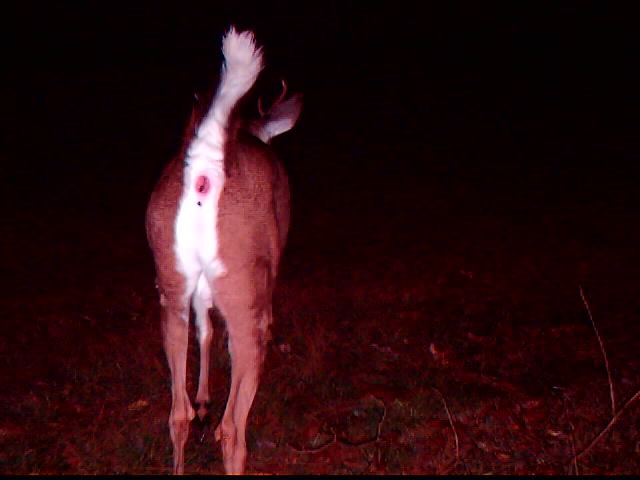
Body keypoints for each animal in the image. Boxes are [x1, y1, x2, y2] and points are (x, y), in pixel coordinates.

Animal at [145, 27, 302, 474]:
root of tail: (205, 166)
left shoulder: (197, 291)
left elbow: (205, 331)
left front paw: (203, 399)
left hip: (170, 283)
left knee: (176, 414)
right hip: (243, 289)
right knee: (232, 429)